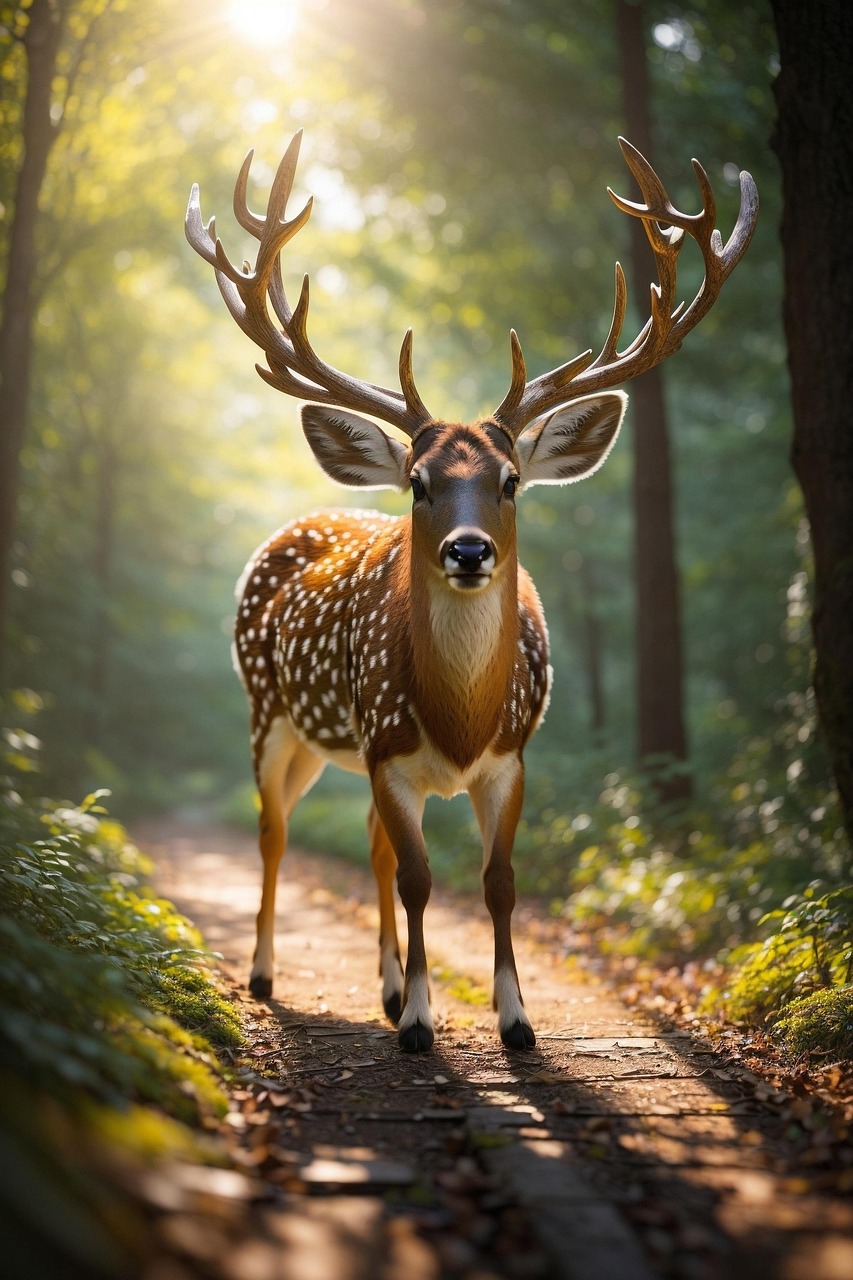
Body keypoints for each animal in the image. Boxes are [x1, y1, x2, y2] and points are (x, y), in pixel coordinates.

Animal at [186, 132, 757, 1053]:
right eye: (419, 482)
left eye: (511, 480)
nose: (467, 549)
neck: (458, 720)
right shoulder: (388, 748)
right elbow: (421, 878)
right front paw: (421, 1022)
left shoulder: (510, 756)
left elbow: (496, 880)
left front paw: (512, 1019)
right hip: (269, 709)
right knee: (274, 832)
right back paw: (269, 974)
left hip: (338, 743)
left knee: (370, 844)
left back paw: (383, 987)